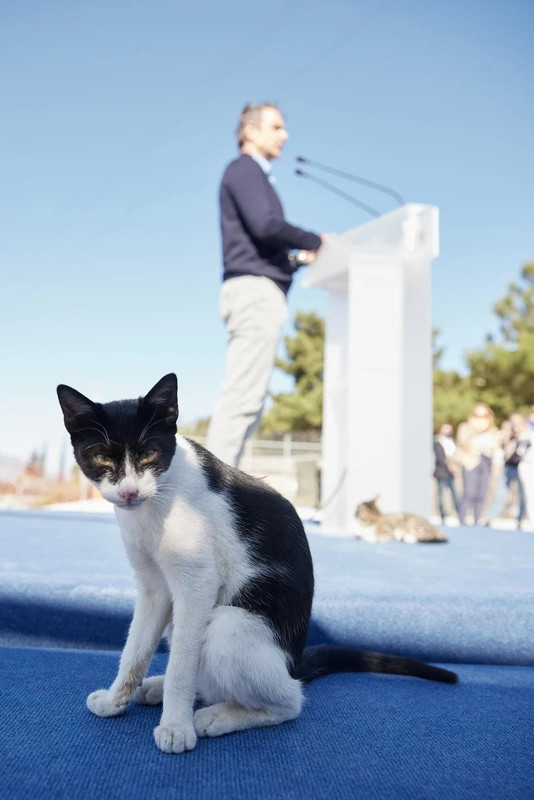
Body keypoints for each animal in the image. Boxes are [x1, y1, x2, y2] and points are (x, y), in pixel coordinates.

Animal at [57, 372, 460, 752]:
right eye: (102, 457)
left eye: (148, 455)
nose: (129, 492)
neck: (156, 502)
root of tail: (292, 666)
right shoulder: (154, 589)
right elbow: (135, 651)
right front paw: (115, 701)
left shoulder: (198, 583)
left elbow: (181, 667)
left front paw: (176, 727)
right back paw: (160, 689)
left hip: (228, 624)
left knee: (289, 703)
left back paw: (215, 716)